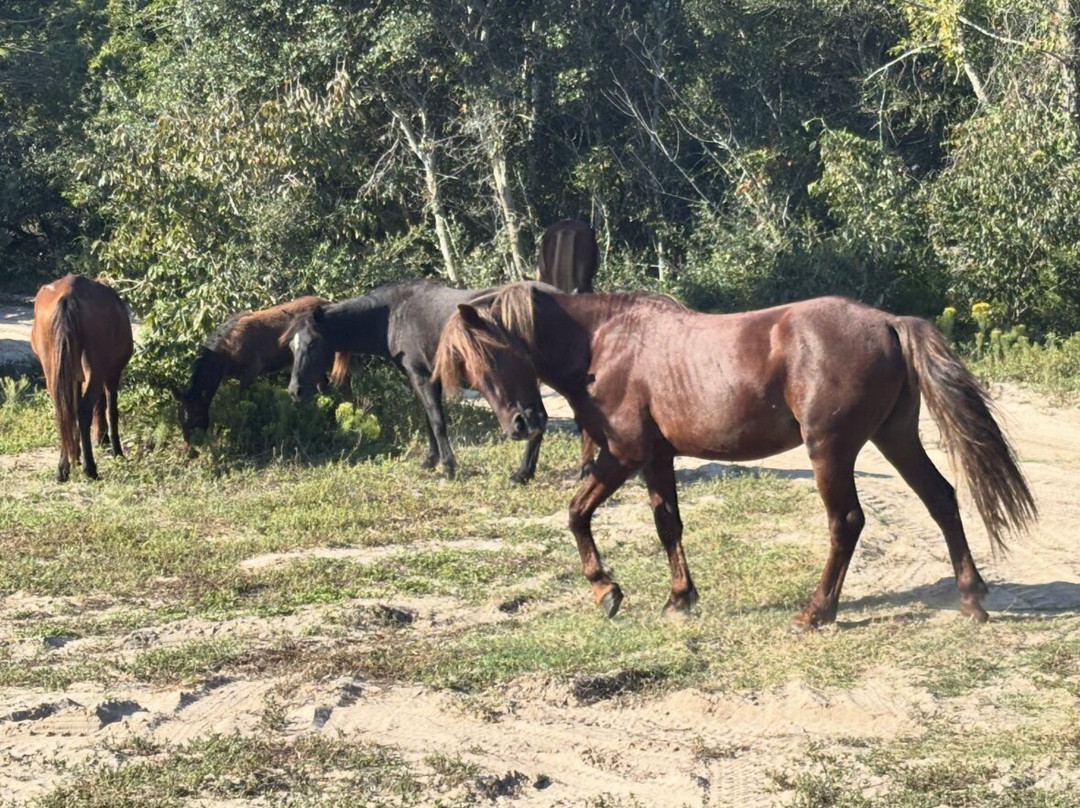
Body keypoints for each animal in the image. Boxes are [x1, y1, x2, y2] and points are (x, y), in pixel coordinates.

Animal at [30, 274, 134, 482]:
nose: (101, 439)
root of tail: (69, 293)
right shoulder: (112, 375)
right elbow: (111, 411)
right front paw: (117, 451)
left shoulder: (74, 378)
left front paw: (75, 455)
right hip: (95, 369)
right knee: (84, 409)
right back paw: (90, 468)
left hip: (52, 370)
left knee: (63, 411)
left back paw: (63, 468)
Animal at [173, 296, 350, 446]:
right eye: (180, 418)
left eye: (197, 417)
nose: (190, 449)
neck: (225, 358)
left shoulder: (251, 371)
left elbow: (244, 401)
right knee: (323, 383)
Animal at [283, 279, 548, 484]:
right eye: (291, 346)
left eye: (312, 343)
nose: (295, 391)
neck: (394, 314)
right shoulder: (423, 380)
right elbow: (429, 419)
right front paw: (430, 460)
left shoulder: (421, 377)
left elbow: (437, 421)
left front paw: (448, 467)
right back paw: (525, 473)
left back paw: (522, 474)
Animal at [433, 284, 1037, 629]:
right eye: (472, 365)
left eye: (496, 353)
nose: (523, 424)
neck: (605, 343)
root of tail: (888, 322)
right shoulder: (656, 459)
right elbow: (668, 526)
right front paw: (679, 599)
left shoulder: (624, 454)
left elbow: (577, 513)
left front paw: (607, 590)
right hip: (895, 438)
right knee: (941, 499)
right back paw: (971, 599)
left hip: (831, 450)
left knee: (846, 521)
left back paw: (816, 613)